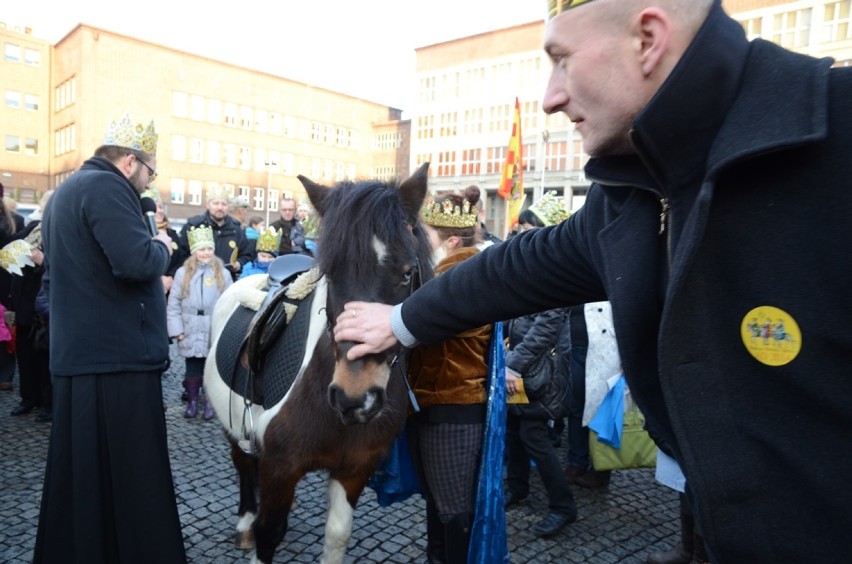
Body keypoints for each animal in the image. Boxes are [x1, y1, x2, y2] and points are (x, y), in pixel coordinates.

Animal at [205, 163, 432, 564]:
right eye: (331, 273)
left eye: (407, 273)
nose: (354, 397)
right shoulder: (281, 466)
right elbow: (268, 533)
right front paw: (256, 528)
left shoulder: (355, 467)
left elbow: (337, 535)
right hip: (231, 426)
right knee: (244, 466)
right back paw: (244, 521)